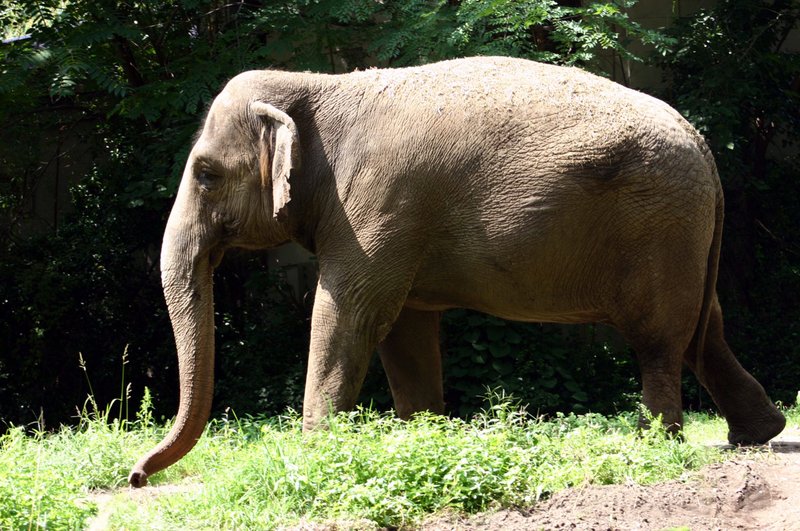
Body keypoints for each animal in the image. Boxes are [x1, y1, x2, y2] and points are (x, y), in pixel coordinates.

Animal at [128, 56, 785, 487]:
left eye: (205, 173)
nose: (136, 477)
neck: (316, 86)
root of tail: (702, 144)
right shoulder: (390, 220)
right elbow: (403, 327)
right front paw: (423, 434)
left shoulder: (376, 202)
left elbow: (351, 311)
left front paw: (313, 455)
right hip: (684, 236)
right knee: (707, 333)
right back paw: (756, 434)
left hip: (658, 229)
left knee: (658, 339)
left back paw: (656, 445)